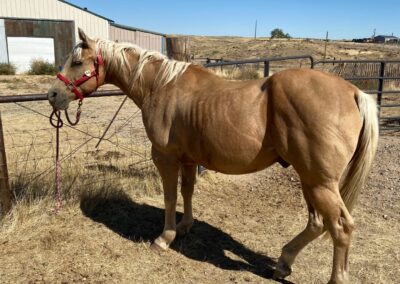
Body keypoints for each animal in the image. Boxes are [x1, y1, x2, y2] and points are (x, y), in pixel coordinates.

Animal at [47, 28, 378, 282]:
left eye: (77, 61)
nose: (53, 95)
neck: (161, 85)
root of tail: (354, 92)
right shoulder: (189, 159)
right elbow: (187, 191)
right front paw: (185, 227)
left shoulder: (165, 157)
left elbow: (170, 196)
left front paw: (164, 238)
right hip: (310, 179)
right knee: (317, 224)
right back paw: (283, 262)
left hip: (319, 182)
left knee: (340, 227)